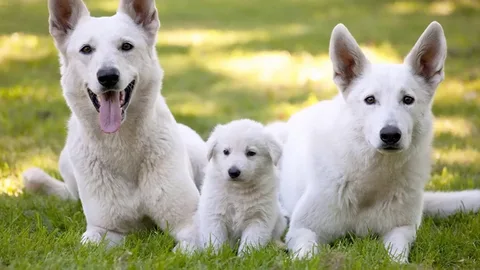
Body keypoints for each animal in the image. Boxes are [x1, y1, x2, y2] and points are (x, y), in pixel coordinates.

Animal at [21, 0, 202, 253]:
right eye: (86, 49)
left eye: (126, 46)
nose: (107, 76)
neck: (121, 144)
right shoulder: (103, 231)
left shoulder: (191, 224)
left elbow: (185, 249)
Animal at [197, 119, 286, 255]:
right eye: (226, 151)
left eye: (251, 153)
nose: (233, 172)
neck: (238, 190)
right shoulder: (214, 215)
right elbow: (216, 239)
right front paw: (215, 255)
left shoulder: (259, 218)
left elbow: (251, 242)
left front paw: (244, 257)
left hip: (279, 217)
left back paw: (278, 245)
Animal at [280, 21, 478, 264]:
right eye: (370, 100)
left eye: (408, 100)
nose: (390, 135)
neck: (371, 180)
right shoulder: (302, 230)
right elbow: (307, 256)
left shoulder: (402, 230)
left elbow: (396, 256)